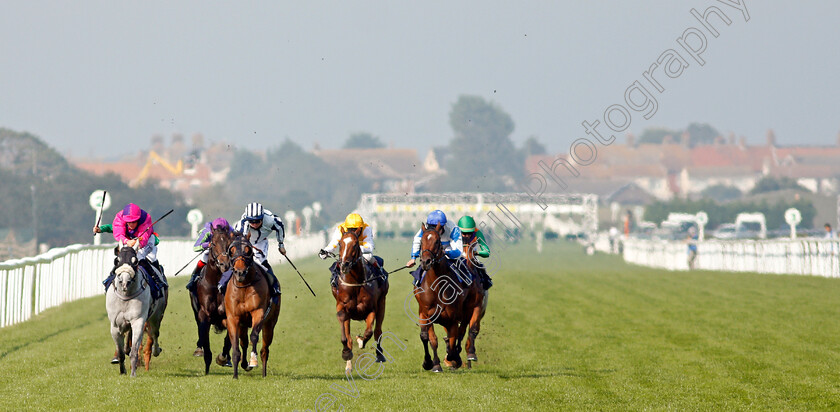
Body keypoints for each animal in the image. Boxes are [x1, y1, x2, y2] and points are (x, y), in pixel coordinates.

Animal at [106, 245, 167, 376]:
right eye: (117, 261)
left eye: (135, 262)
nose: (124, 282)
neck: (125, 296)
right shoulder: (115, 325)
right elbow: (121, 352)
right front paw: (122, 371)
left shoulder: (138, 321)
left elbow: (134, 350)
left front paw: (133, 374)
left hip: (156, 316)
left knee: (154, 333)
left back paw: (155, 350)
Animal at [190, 225, 236, 374]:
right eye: (213, 243)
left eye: (229, 244)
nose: (224, 264)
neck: (216, 283)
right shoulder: (204, 314)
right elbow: (205, 337)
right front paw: (206, 367)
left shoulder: (229, 313)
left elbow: (228, 340)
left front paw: (223, 358)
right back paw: (199, 349)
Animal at [225, 233, 280, 378]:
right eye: (231, 251)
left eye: (248, 250)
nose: (240, 272)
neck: (244, 286)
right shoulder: (233, 317)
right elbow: (235, 344)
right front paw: (235, 375)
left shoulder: (258, 312)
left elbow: (254, 336)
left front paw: (253, 361)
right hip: (243, 324)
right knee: (243, 341)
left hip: (270, 324)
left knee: (264, 349)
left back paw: (263, 373)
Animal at [332, 229, 390, 374]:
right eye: (340, 244)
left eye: (355, 245)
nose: (344, 265)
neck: (356, 283)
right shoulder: (342, 306)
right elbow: (346, 336)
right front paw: (346, 353)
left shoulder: (371, 308)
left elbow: (369, 332)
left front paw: (361, 341)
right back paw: (348, 366)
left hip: (382, 303)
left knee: (378, 331)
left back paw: (379, 355)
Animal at [416, 224, 470, 372]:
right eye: (421, 241)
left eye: (437, 241)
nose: (426, 262)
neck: (437, 287)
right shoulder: (426, 314)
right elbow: (430, 339)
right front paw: (432, 363)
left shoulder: (452, 318)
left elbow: (452, 343)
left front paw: (454, 359)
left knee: (460, 332)